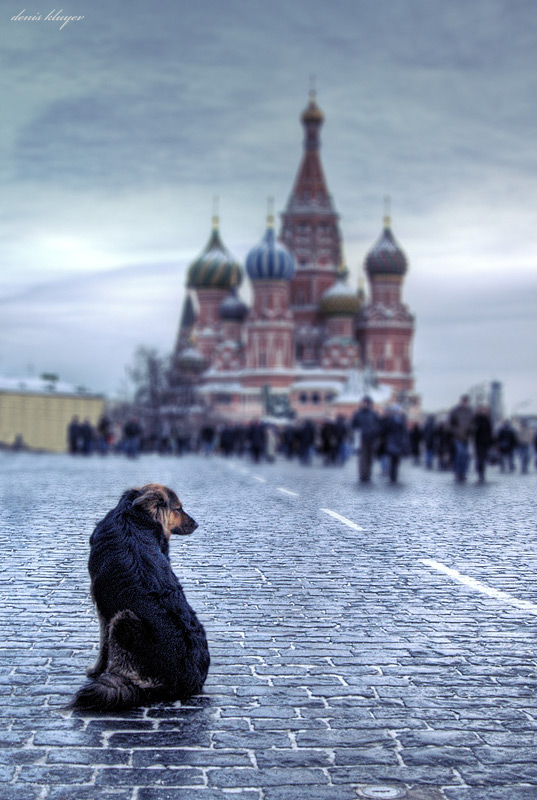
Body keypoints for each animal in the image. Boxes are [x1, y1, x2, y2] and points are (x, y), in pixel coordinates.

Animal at [67, 484, 209, 708]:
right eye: (178, 509)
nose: (196, 524)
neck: (132, 517)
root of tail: (188, 682)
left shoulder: (103, 609)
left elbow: (103, 646)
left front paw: (94, 670)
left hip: (123, 619)